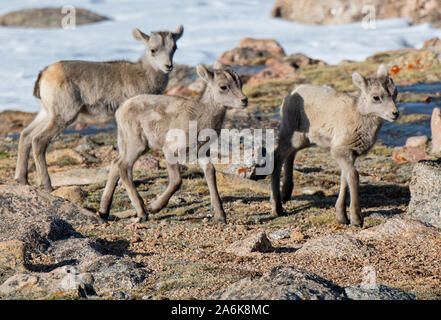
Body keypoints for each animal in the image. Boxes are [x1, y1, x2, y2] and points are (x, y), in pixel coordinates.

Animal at [13, 25, 182, 190]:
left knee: (26, 135)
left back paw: (22, 180)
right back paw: (47, 185)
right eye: (153, 50)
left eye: (174, 48)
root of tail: (44, 74)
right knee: (38, 140)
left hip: (46, 113)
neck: (145, 76)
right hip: (64, 115)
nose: (168, 66)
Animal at [99, 62, 248, 225]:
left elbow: (210, 173)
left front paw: (221, 215)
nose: (244, 100)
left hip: (127, 143)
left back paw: (103, 212)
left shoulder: (202, 152)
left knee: (115, 164)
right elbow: (177, 181)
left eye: (240, 83)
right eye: (223, 86)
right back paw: (142, 212)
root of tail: (120, 110)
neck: (199, 118)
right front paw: (154, 207)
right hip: (137, 144)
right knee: (123, 166)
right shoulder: (170, 150)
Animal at [272, 63, 398, 226]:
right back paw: (277, 207)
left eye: (395, 93)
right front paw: (356, 219)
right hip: (291, 133)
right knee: (277, 157)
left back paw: (286, 194)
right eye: (376, 97)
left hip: (304, 140)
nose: (395, 113)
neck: (358, 118)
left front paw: (341, 217)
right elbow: (353, 176)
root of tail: (291, 93)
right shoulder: (340, 151)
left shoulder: (350, 154)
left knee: (291, 154)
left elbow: (345, 179)